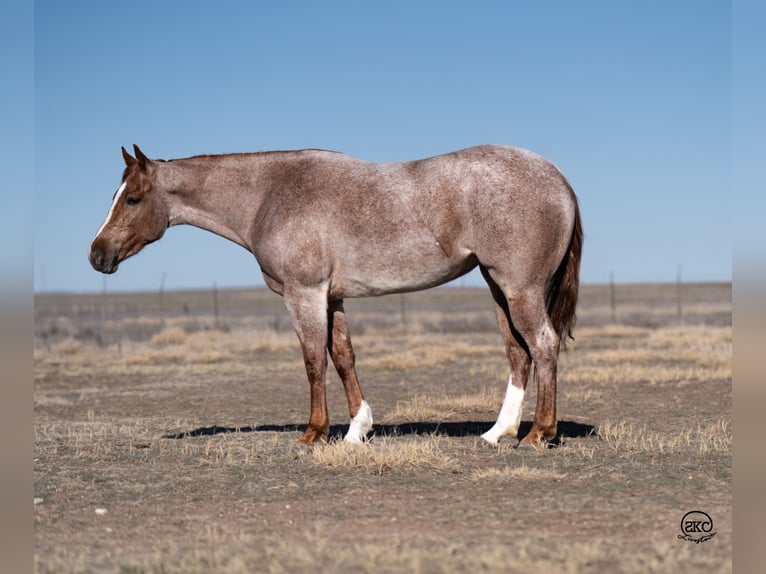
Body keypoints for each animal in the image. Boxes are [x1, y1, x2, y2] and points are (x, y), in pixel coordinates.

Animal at [90, 144, 584, 450]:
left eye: (132, 199)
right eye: (116, 195)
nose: (97, 254)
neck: (271, 194)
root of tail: (558, 178)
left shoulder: (304, 294)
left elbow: (313, 360)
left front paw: (314, 433)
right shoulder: (333, 298)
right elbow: (343, 356)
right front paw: (356, 430)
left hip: (518, 289)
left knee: (542, 345)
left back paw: (538, 434)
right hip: (498, 288)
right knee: (519, 354)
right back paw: (497, 433)